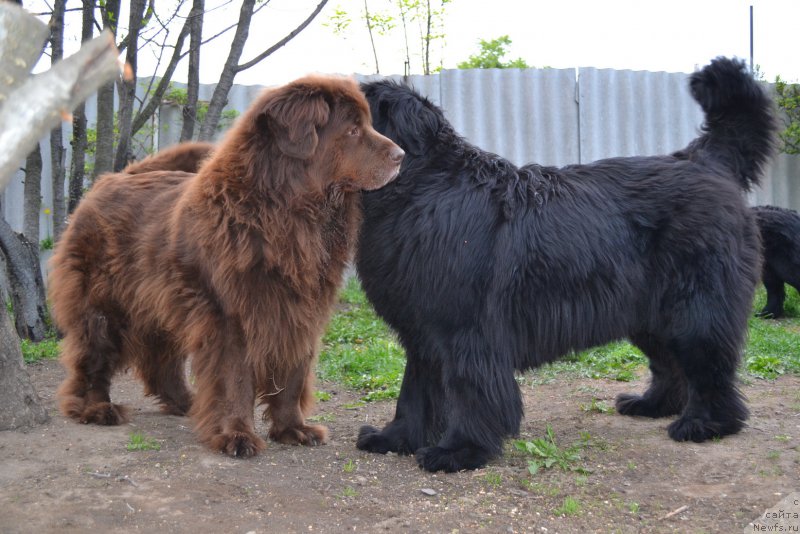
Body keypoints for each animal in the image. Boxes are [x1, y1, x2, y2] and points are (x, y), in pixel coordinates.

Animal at [48, 76, 406, 460]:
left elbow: (293, 373)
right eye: (352, 130)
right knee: (93, 356)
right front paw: (235, 435)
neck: (287, 213)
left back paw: (186, 403)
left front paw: (293, 429)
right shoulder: (230, 315)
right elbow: (234, 379)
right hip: (104, 306)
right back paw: (96, 408)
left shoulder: (300, 310)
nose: (401, 156)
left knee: (161, 358)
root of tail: (110, 178)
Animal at [354, 58, 776, 476]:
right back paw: (652, 405)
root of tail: (705, 160)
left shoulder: (467, 331)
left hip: (695, 310)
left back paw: (705, 424)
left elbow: (470, 390)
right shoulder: (422, 333)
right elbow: (414, 393)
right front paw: (395, 438)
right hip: (649, 314)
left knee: (709, 367)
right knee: (670, 364)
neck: (421, 187)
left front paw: (461, 450)